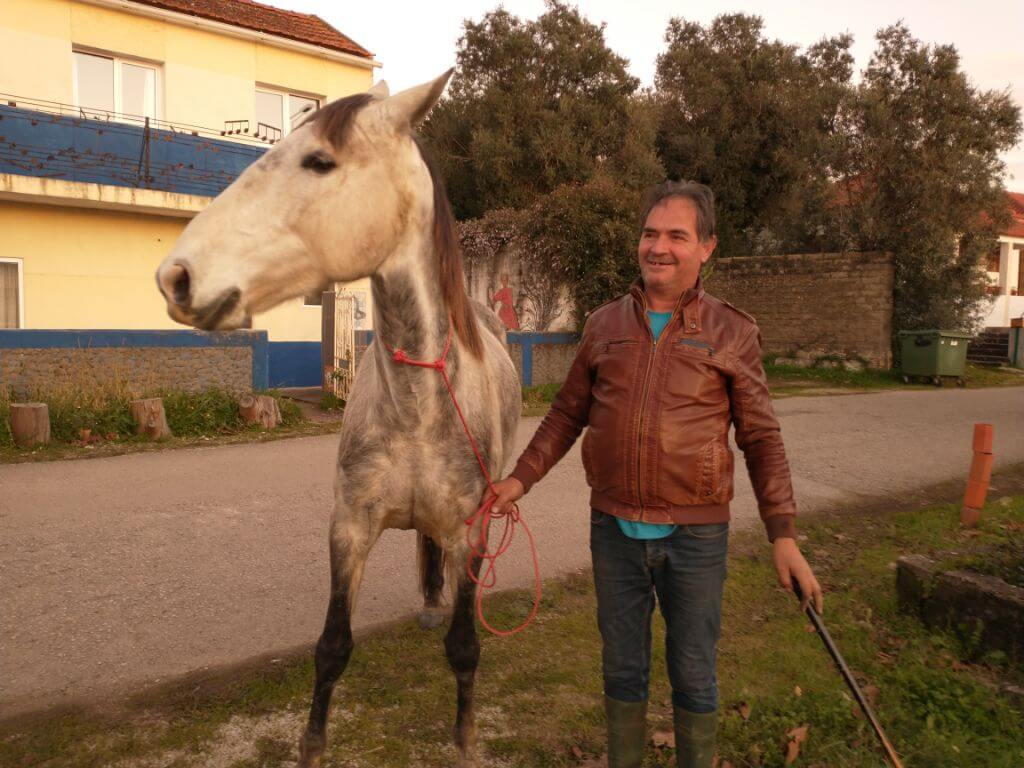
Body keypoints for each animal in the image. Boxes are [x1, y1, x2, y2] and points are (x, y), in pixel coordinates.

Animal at [155, 70, 524, 765]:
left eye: (320, 161)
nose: (176, 276)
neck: (416, 406)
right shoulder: (348, 529)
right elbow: (331, 648)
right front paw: (312, 744)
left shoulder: (469, 532)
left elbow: (465, 647)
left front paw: (464, 737)